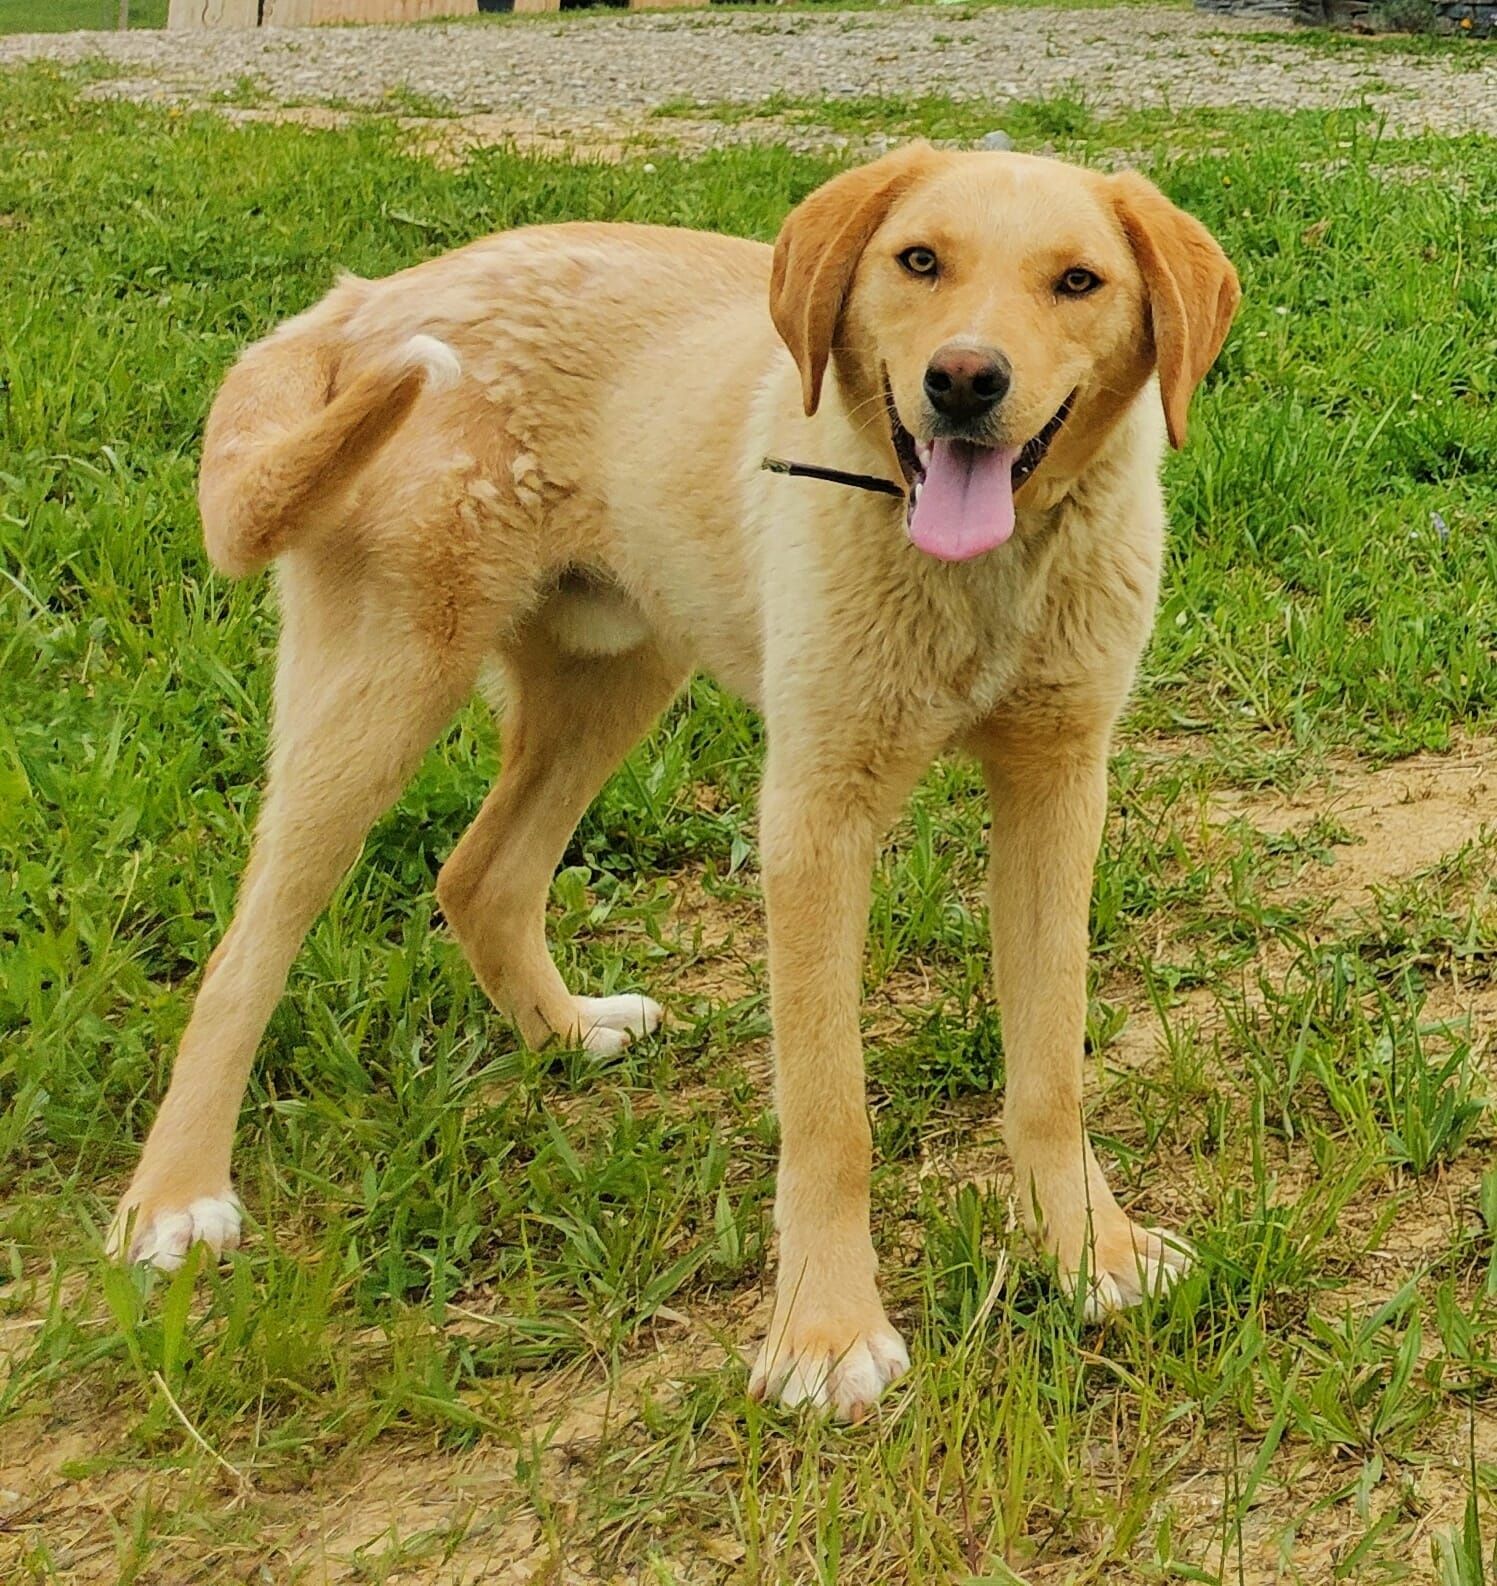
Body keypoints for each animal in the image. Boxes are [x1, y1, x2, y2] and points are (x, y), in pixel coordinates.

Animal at [111, 142, 1236, 1421]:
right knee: (246, 951)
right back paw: (172, 1197)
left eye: (1079, 281)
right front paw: (826, 1329)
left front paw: (1090, 1249)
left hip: (611, 676)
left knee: (478, 874)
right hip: (379, 687)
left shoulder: (1059, 782)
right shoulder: (813, 812)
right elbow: (828, 1107)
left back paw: (565, 1031)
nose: (962, 380)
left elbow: (1050, 1065)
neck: (979, 574)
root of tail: (367, 297)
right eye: (918, 261)